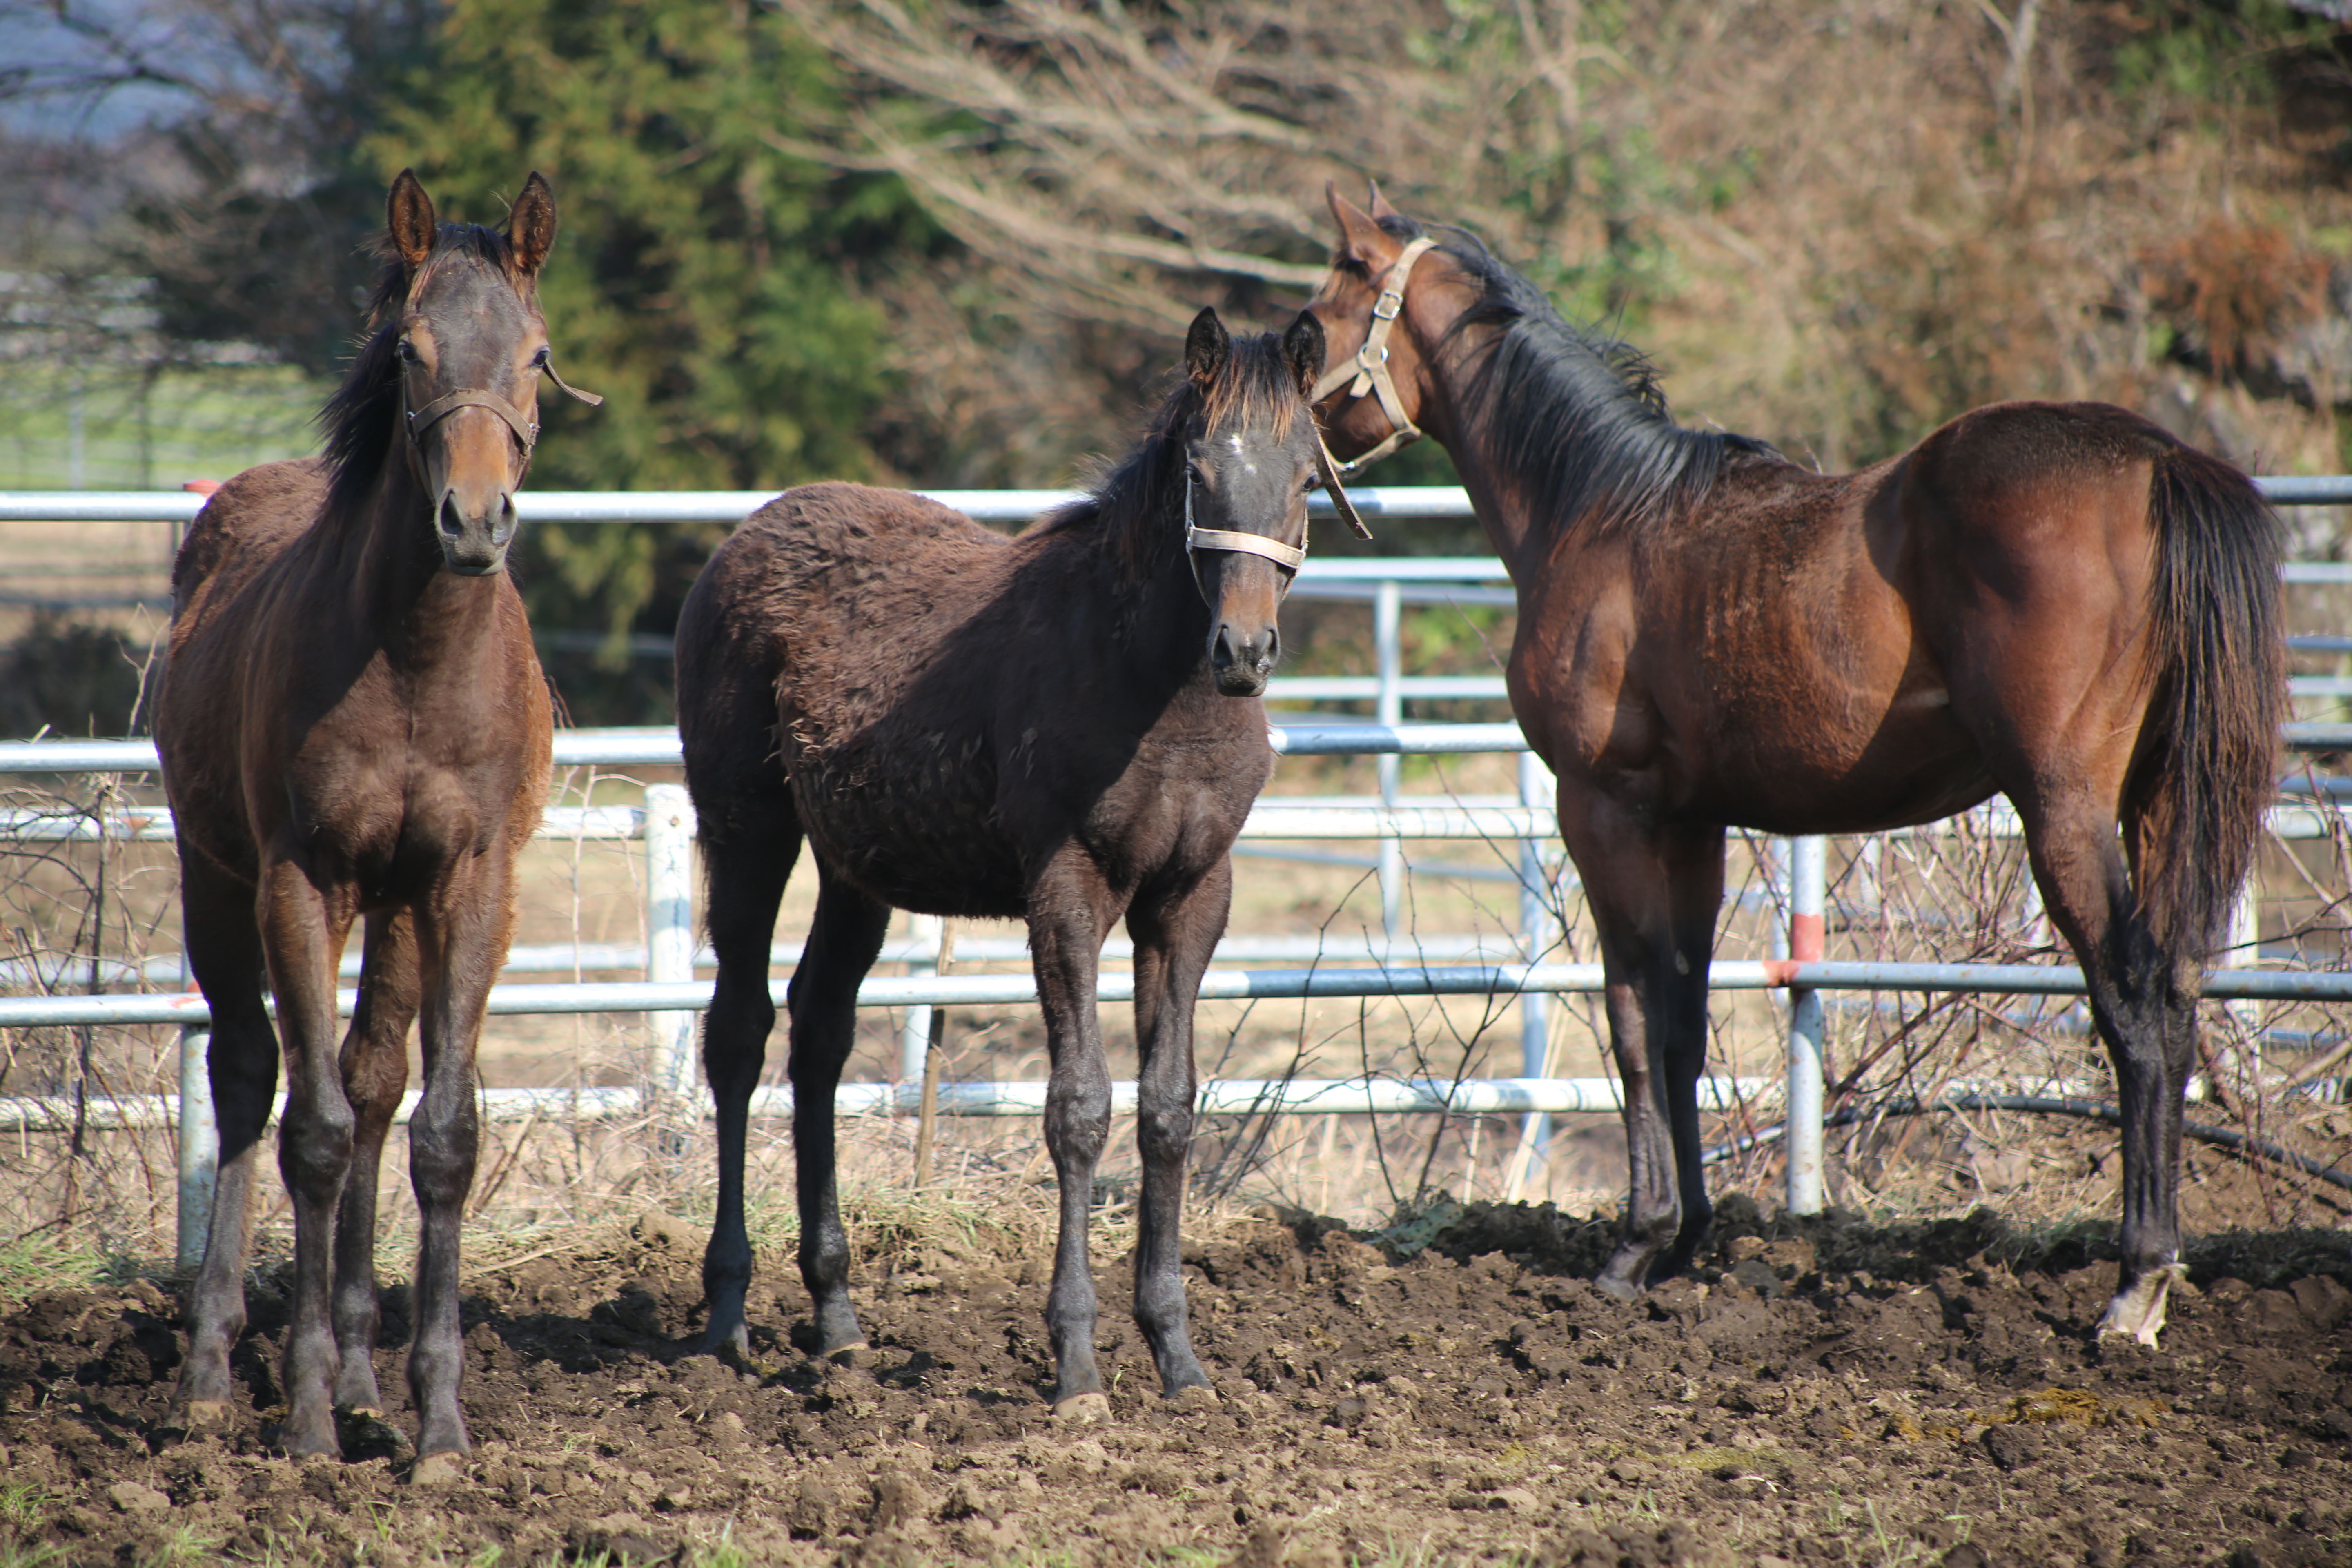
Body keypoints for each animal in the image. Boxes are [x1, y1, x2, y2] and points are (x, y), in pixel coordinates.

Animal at [161, 172, 588, 1476]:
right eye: (409, 351)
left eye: (537, 355)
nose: (474, 523)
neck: (413, 660)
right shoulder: (299, 882)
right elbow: (312, 1129)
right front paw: (302, 1420)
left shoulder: (473, 885)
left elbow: (437, 1130)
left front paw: (436, 1424)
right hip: (214, 877)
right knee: (254, 1075)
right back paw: (214, 1371)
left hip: (399, 908)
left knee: (376, 1076)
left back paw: (361, 1374)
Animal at [682, 303, 1345, 1410]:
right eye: (1199, 468)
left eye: (1305, 474)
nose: (1244, 653)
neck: (1152, 681)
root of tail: (745, 535)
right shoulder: (1067, 887)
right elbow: (1078, 1107)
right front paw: (1076, 1364)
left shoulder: (1191, 898)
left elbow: (1168, 1110)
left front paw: (1177, 1356)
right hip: (747, 830)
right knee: (739, 1033)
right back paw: (728, 1310)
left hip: (855, 867)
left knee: (819, 1033)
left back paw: (838, 1318)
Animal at [1307, 187, 2276, 1354]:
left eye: (1311, 320)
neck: (1597, 511)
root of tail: (2155, 462)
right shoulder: (1691, 824)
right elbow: (1682, 1020)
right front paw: (1682, 1241)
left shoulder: (1604, 810)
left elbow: (1630, 1019)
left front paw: (1634, 1248)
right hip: (2156, 804)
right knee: (2176, 994)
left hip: (2063, 810)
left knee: (2131, 1006)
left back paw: (2136, 1285)